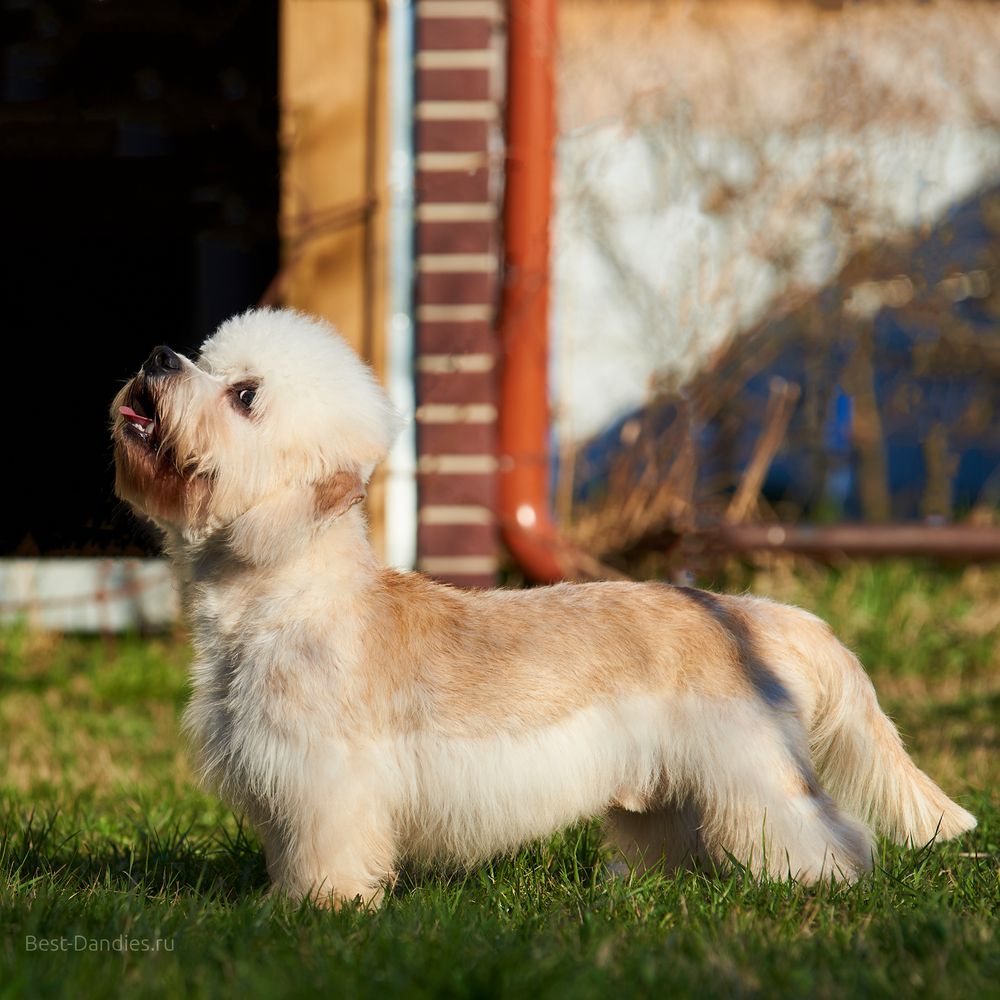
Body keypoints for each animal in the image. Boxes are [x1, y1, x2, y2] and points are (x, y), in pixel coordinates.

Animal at [111, 306, 976, 908]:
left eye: (245, 395)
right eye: (204, 359)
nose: (155, 356)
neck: (286, 596)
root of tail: (747, 614)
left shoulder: (326, 783)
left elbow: (328, 857)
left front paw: (322, 910)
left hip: (752, 770)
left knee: (826, 830)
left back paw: (822, 886)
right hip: (669, 787)